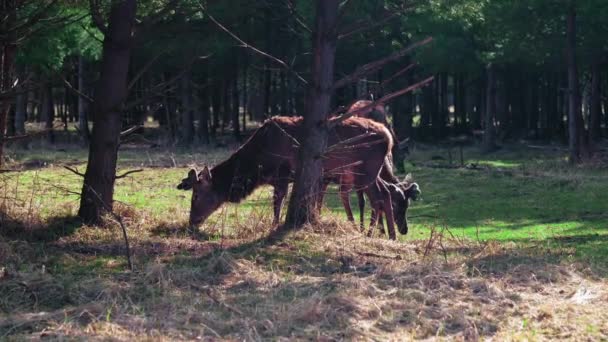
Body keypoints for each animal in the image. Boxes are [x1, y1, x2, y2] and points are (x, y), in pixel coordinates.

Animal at [178, 115, 406, 240]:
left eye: (196, 195)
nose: (192, 221)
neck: (259, 162)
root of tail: (388, 137)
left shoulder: (282, 174)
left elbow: (277, 202)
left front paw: (273, 226)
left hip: (365, 170)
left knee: (381, 195)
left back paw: (381, 234)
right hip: (370, 171)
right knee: (386, 192)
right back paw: (386, 234)